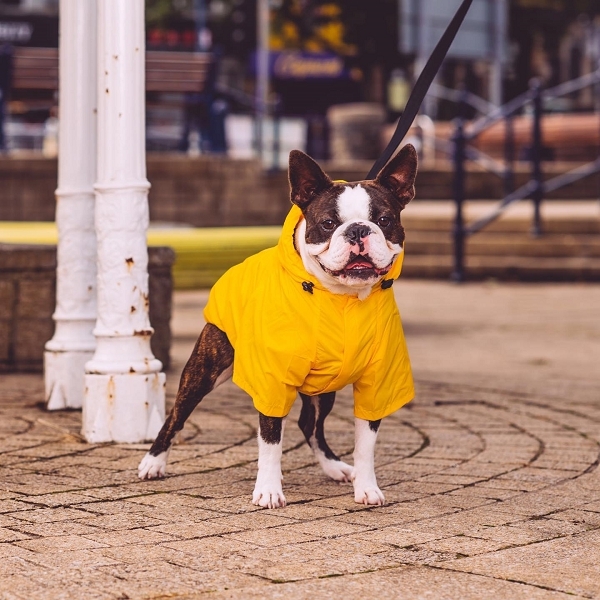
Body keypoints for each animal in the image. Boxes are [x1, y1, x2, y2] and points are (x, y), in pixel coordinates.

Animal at [137, 144, 418, 506]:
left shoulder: (377, 383)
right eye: (328, 224)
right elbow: (270, 440)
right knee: (176, 416)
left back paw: (334, 467)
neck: (340, 299)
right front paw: (269, 489)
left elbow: (365, 444)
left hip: (324, 390)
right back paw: (153, 462)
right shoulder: (272, 381)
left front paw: (367, 487)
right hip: (203, 372)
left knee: (309, 425)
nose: (357, 230)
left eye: (384, 220)